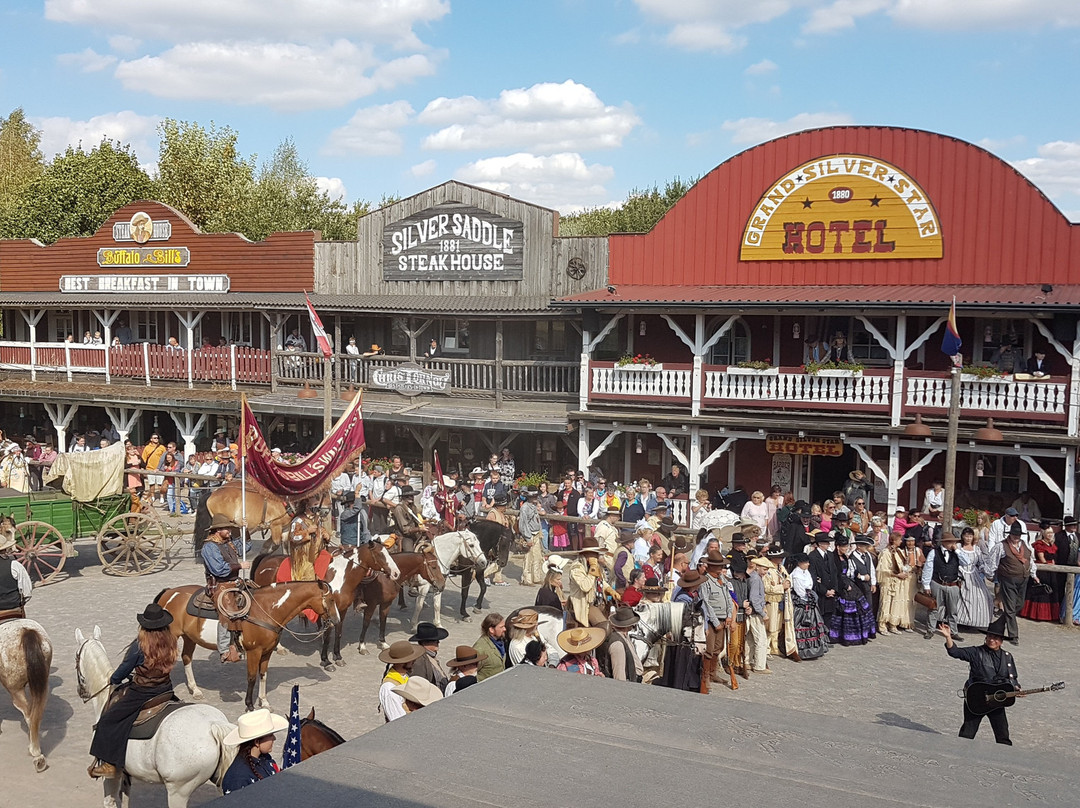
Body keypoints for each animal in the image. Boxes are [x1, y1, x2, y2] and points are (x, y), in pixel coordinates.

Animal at [0, 613, 52, 773]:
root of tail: (27, 632)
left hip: (15, 689)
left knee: (29, 715)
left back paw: (35, 752)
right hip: (42, 683)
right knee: (36, 714)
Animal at [75, 626, 236, 808]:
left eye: (76, 657)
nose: (81, 692)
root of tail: (213, 725)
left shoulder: (111, 775)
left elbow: (110, 801)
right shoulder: (125, 774)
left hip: (178, 791)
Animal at [154, 578, 339, 708]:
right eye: (330, 600)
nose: (336, 620)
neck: (267, 609)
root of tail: (169, 593)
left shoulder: (267, 651)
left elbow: (263, 675)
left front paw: (264, 702)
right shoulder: (253, 651)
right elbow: (251, 677)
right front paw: (249, 705)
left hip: (189, 638)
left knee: (186, 658)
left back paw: (195, 690)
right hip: (171, 637)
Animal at [249, 542, 401, 669]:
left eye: (388, 552)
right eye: (380, 554)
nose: (396, 573)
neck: (342, 577)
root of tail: (266, 559)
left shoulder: (342, 610)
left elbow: (338, 633)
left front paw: (338, 657)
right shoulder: (329, 613)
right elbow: (328, 635)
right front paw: (326, 661)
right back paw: (280, 648)